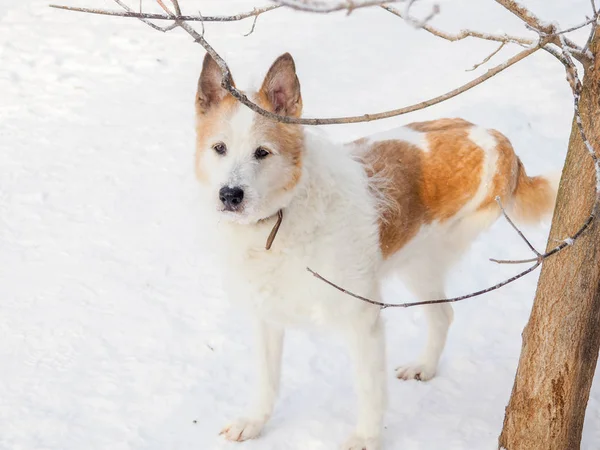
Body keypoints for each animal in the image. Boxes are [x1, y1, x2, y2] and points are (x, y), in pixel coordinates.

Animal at [197, 51, 556, 448]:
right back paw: (424, 367)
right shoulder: (266, 316)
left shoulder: (361, 319)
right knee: (442, 314)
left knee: (442, 314)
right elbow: (266, 379)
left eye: (262, 152)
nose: (230, 195)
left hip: (422, 260)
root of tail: (497, 140)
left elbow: (369, 390)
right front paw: (255, 422)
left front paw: (366, 438)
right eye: (219, 148)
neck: (280, 217)